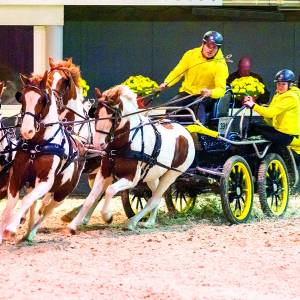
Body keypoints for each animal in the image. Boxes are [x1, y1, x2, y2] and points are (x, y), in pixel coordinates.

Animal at [0, 71, 85, 243]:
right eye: (22, 98)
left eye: (42, 100)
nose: (26, 131)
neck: (38, 145)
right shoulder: (16, 177)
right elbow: (11, 204)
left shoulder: (45, 181)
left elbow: (26, 200)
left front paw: (10, 228)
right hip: (34, 185)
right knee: (35, 205)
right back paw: (27, 232)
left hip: (61, 195)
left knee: (46, 211)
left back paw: (32, 231)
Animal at [67, 84, 196, 232]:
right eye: (96, 114)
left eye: (113, 116)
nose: (98, 144)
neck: (124, 144)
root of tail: (185, 131)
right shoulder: (104, 173)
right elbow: (92, 197)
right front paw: (74, 224)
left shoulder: (131, 178)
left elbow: (110, 190)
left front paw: (107, 216)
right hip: (152, 176)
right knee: (155, 195)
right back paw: (150, 222)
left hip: (171, 175)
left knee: (154, 199)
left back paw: (132, 222)